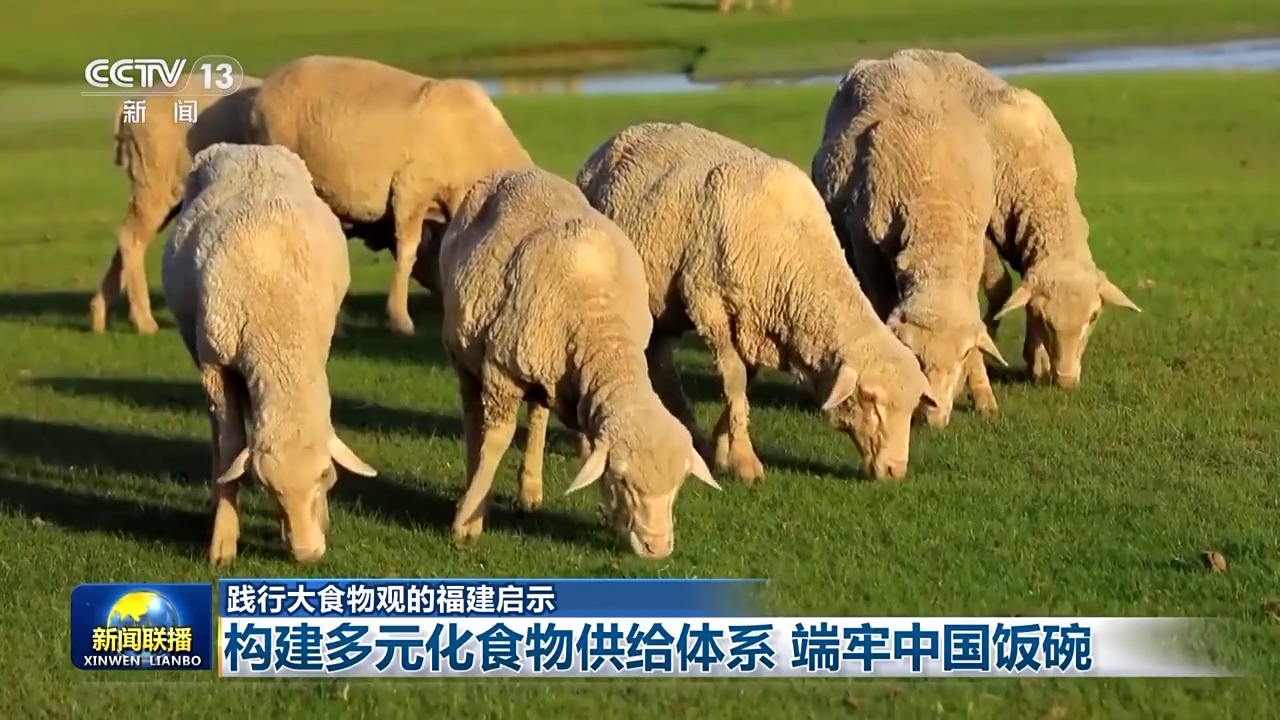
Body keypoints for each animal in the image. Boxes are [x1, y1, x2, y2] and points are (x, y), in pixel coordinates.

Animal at [161, 142, 378, 565]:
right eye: (267, 488)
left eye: (326, 476)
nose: (307, 554)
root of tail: (245, 148)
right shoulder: (215, 364)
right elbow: (231, 441)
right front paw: (224, 540)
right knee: (217, 429)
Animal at [439, 166, 720, 559]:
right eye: (622, 479)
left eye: (678, 486)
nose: (658, 548)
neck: (601, 326)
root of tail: (514, 172)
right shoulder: (502, 374)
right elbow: (496, 440)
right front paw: (467, 523)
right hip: (464, 351)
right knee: (472, 418)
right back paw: (471, 482)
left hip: (542, 368)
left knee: (538, 415)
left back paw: (530, 490)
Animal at [577, 122, 939, 483]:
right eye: (870, 399)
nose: (895, 470)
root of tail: (616, 138)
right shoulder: (712, 305)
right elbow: (735, 380)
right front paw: (743, 460)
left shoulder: (753, 318)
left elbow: (745, 382)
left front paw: (723, 446)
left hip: (663, 305)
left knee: (661, 362)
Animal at [810, 53, 1009, 428]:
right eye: (915, 356)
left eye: (960, 357)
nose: (933, 415)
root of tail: (887, 60)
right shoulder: (867, 246)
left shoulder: (973, 252)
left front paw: (984, 397)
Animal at [874, 48, 1142, 388]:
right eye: (1044, 318)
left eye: (1093, 317)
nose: (1066, 380)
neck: (1041, 182)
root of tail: (909, 52)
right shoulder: (984, 232)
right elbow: (1000, 290)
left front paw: (1036, 362)